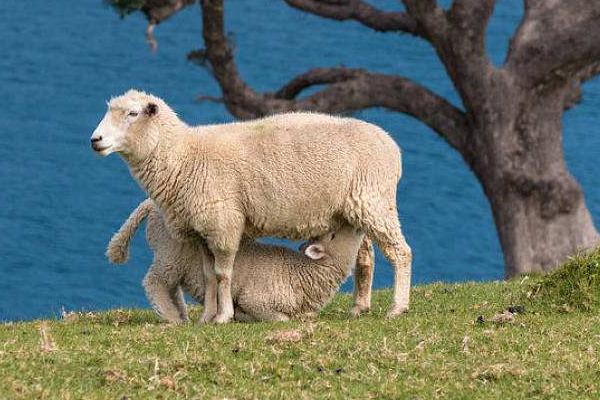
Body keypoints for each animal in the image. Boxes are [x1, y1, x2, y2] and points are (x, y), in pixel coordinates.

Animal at [90, 89, 412, 324]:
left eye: (132, 114)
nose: (95, 140)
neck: (184, 155)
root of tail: (391, 145)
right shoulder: (202, 231)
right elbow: (208, 275)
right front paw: (207, 317)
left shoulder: (223, 224)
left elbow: (223, 274)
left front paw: (224, 316)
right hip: (353, 211)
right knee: (365, 257)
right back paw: (360, 307)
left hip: (374, 201)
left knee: (400, 252)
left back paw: (397, 307)